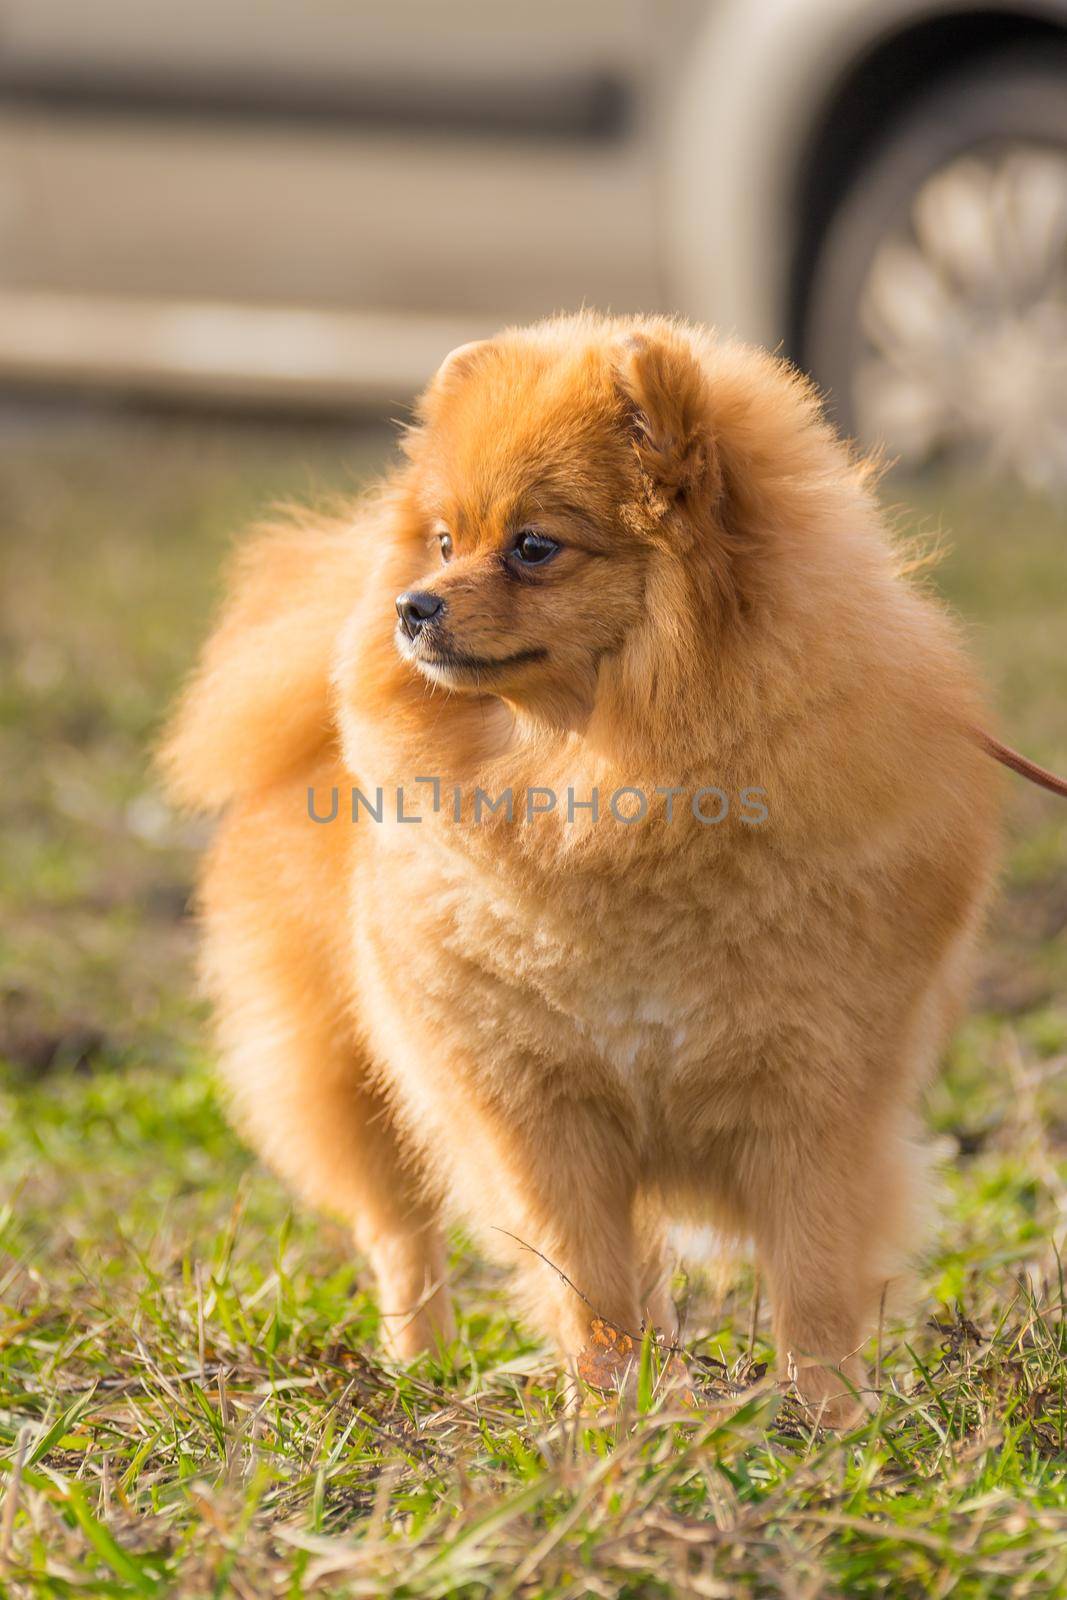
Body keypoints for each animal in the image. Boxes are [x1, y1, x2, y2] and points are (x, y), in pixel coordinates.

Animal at [164, 312, 1004, 1427]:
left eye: (532, 546)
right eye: (446, 540)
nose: (412, 604)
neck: (606, 790)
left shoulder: (818, 1100)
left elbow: (813, 1283)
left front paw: (827, 1420)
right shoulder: (536, 1109)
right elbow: (590, 1284)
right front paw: (614, 1416)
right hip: (350, 1071)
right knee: (401, 1232)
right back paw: (421, 1362)